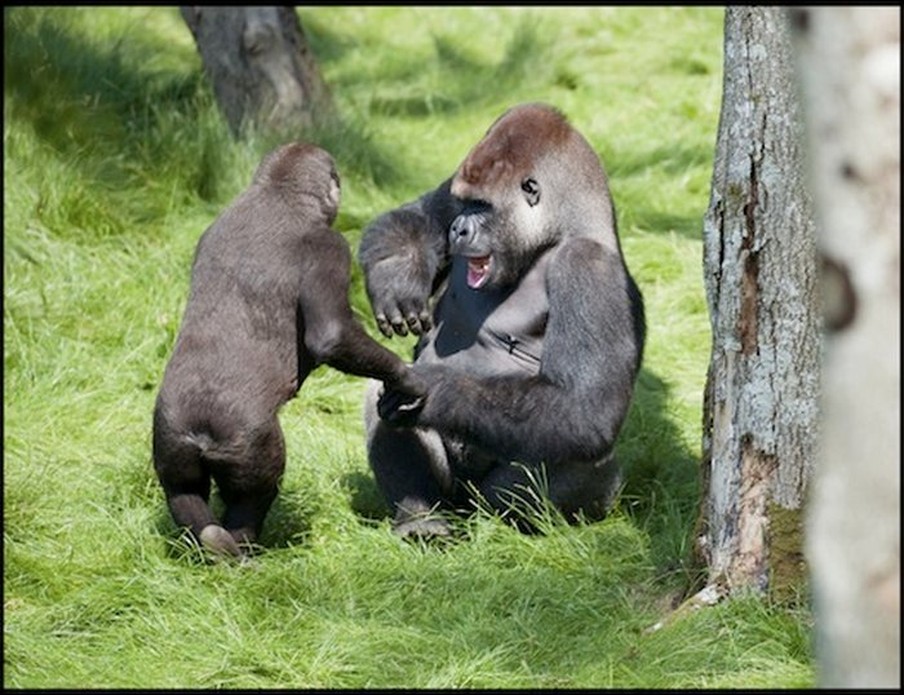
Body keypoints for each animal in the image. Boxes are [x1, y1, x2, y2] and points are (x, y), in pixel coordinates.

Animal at [154, 141, 426, 560]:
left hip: (170, 434)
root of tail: (200, 431)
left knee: (183, 491)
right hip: (249, 442)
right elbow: (332, 335)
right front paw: (406, 378)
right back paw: (241, 550)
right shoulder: (331, 247)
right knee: (254, 493)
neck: (275, 192)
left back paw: (210, 545)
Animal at [356, 102, 648, 540]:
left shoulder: (590, 268)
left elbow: (585, 409)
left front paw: (434, 389)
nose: (458, 229)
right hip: (452, 496)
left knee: (580, 456)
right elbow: (414, 214)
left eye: (482, 206)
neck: (558, 232)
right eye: (464, 204)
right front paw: (398, 271)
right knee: (380, 391)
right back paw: (421, 517)